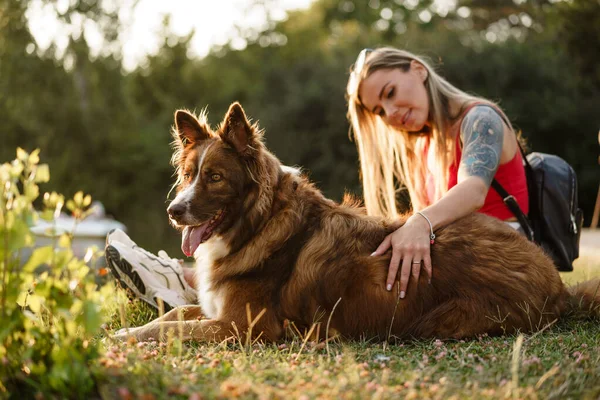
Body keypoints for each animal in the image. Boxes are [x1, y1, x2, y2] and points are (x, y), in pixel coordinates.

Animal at [115, 102, 596, 340]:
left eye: (215, 177)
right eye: (187, 175)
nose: (174, 211)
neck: (260, 223)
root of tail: (557, 284)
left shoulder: (247, 325)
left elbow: (176, 330)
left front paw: (125, 339)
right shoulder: (217, 310)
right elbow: (173, 317)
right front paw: (131, 329)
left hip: (443, 317)